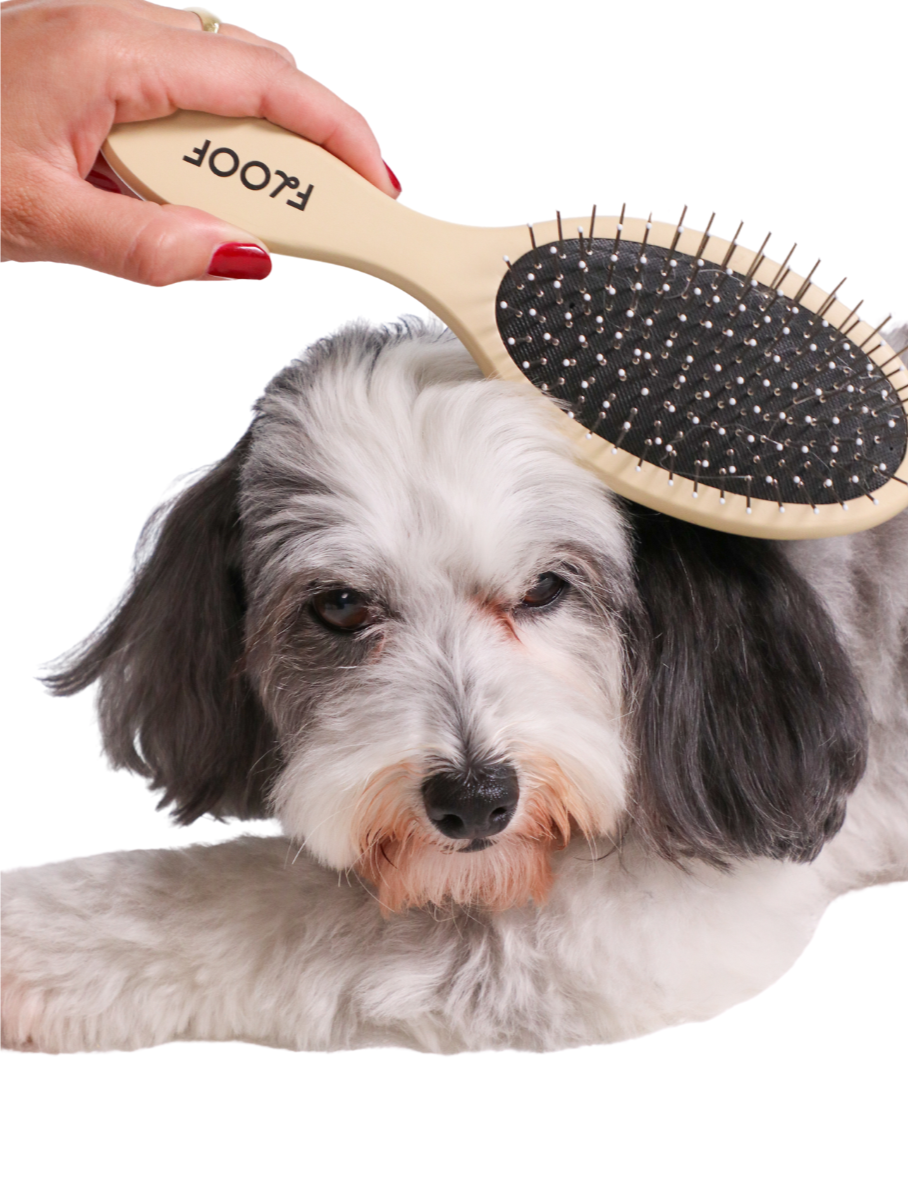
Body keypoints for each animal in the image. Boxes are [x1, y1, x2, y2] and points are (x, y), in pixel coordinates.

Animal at [1, 319, 906, 1051]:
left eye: (544, 588)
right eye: (340, 606)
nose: (474, 800)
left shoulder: (650, 921)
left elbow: (278, 903)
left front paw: (34, 935)